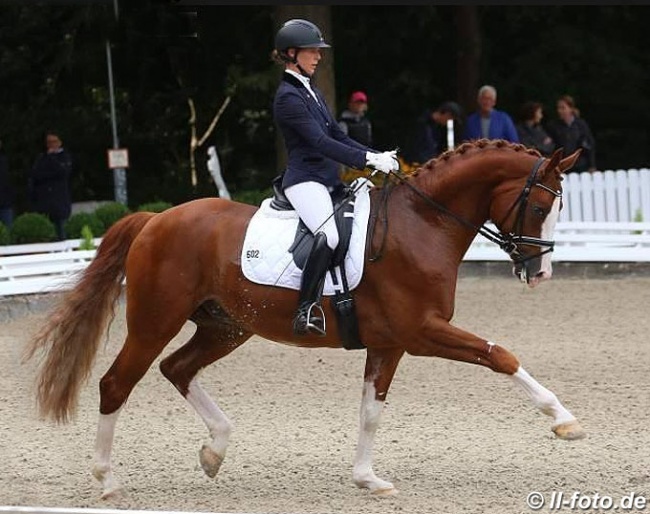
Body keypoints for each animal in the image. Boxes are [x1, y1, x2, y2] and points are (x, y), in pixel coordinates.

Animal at [24, 137, 584, 496]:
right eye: (539, 208)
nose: (539, 273)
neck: (423, 223)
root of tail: (155, 219)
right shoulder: (423, 332)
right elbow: (502, 355)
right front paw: (564, 421)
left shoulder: (389, 343)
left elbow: (371, 410)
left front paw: (367, 479)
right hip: (154, 322)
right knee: (117, 383)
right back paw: (107, 480)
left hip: (227, 326)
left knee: (176, 368)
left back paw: (214, 451)